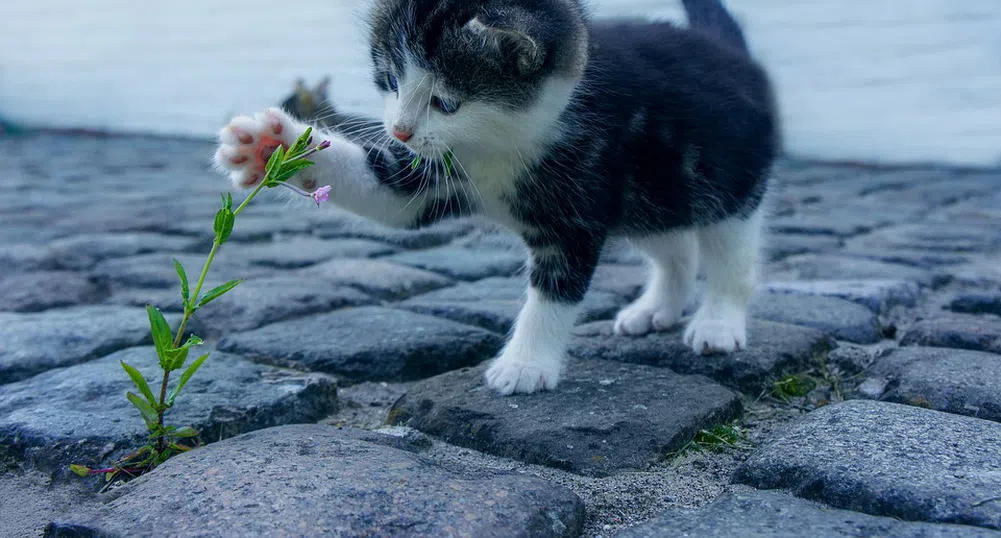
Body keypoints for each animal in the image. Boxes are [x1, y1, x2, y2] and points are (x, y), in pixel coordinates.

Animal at [213, 0, 780, 394]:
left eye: (446, 102)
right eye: (391, 80)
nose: (398, 131)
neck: (499, 145)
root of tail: (733, 55)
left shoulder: (578, 205)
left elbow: (554, 291)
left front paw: (525, 365)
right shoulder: (433, 172)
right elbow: (389, 196)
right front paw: (270, 147)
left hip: (726, 181)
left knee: (730, 254)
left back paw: (717, 323)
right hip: (650, 195)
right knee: (675, 247)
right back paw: (656, 308)